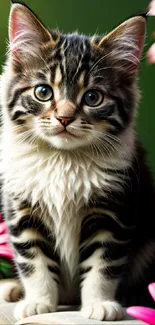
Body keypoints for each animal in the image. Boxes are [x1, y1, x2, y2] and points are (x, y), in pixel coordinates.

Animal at [0, 0, 154, 322]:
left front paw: (100, 303)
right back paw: (13, 289)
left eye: (93, 97)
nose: (65, 117)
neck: (63, 159)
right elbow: (34, 262)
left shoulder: (113, 211)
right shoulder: (21, 209)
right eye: (43, 92)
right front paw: (38, 301)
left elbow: (102, 265)